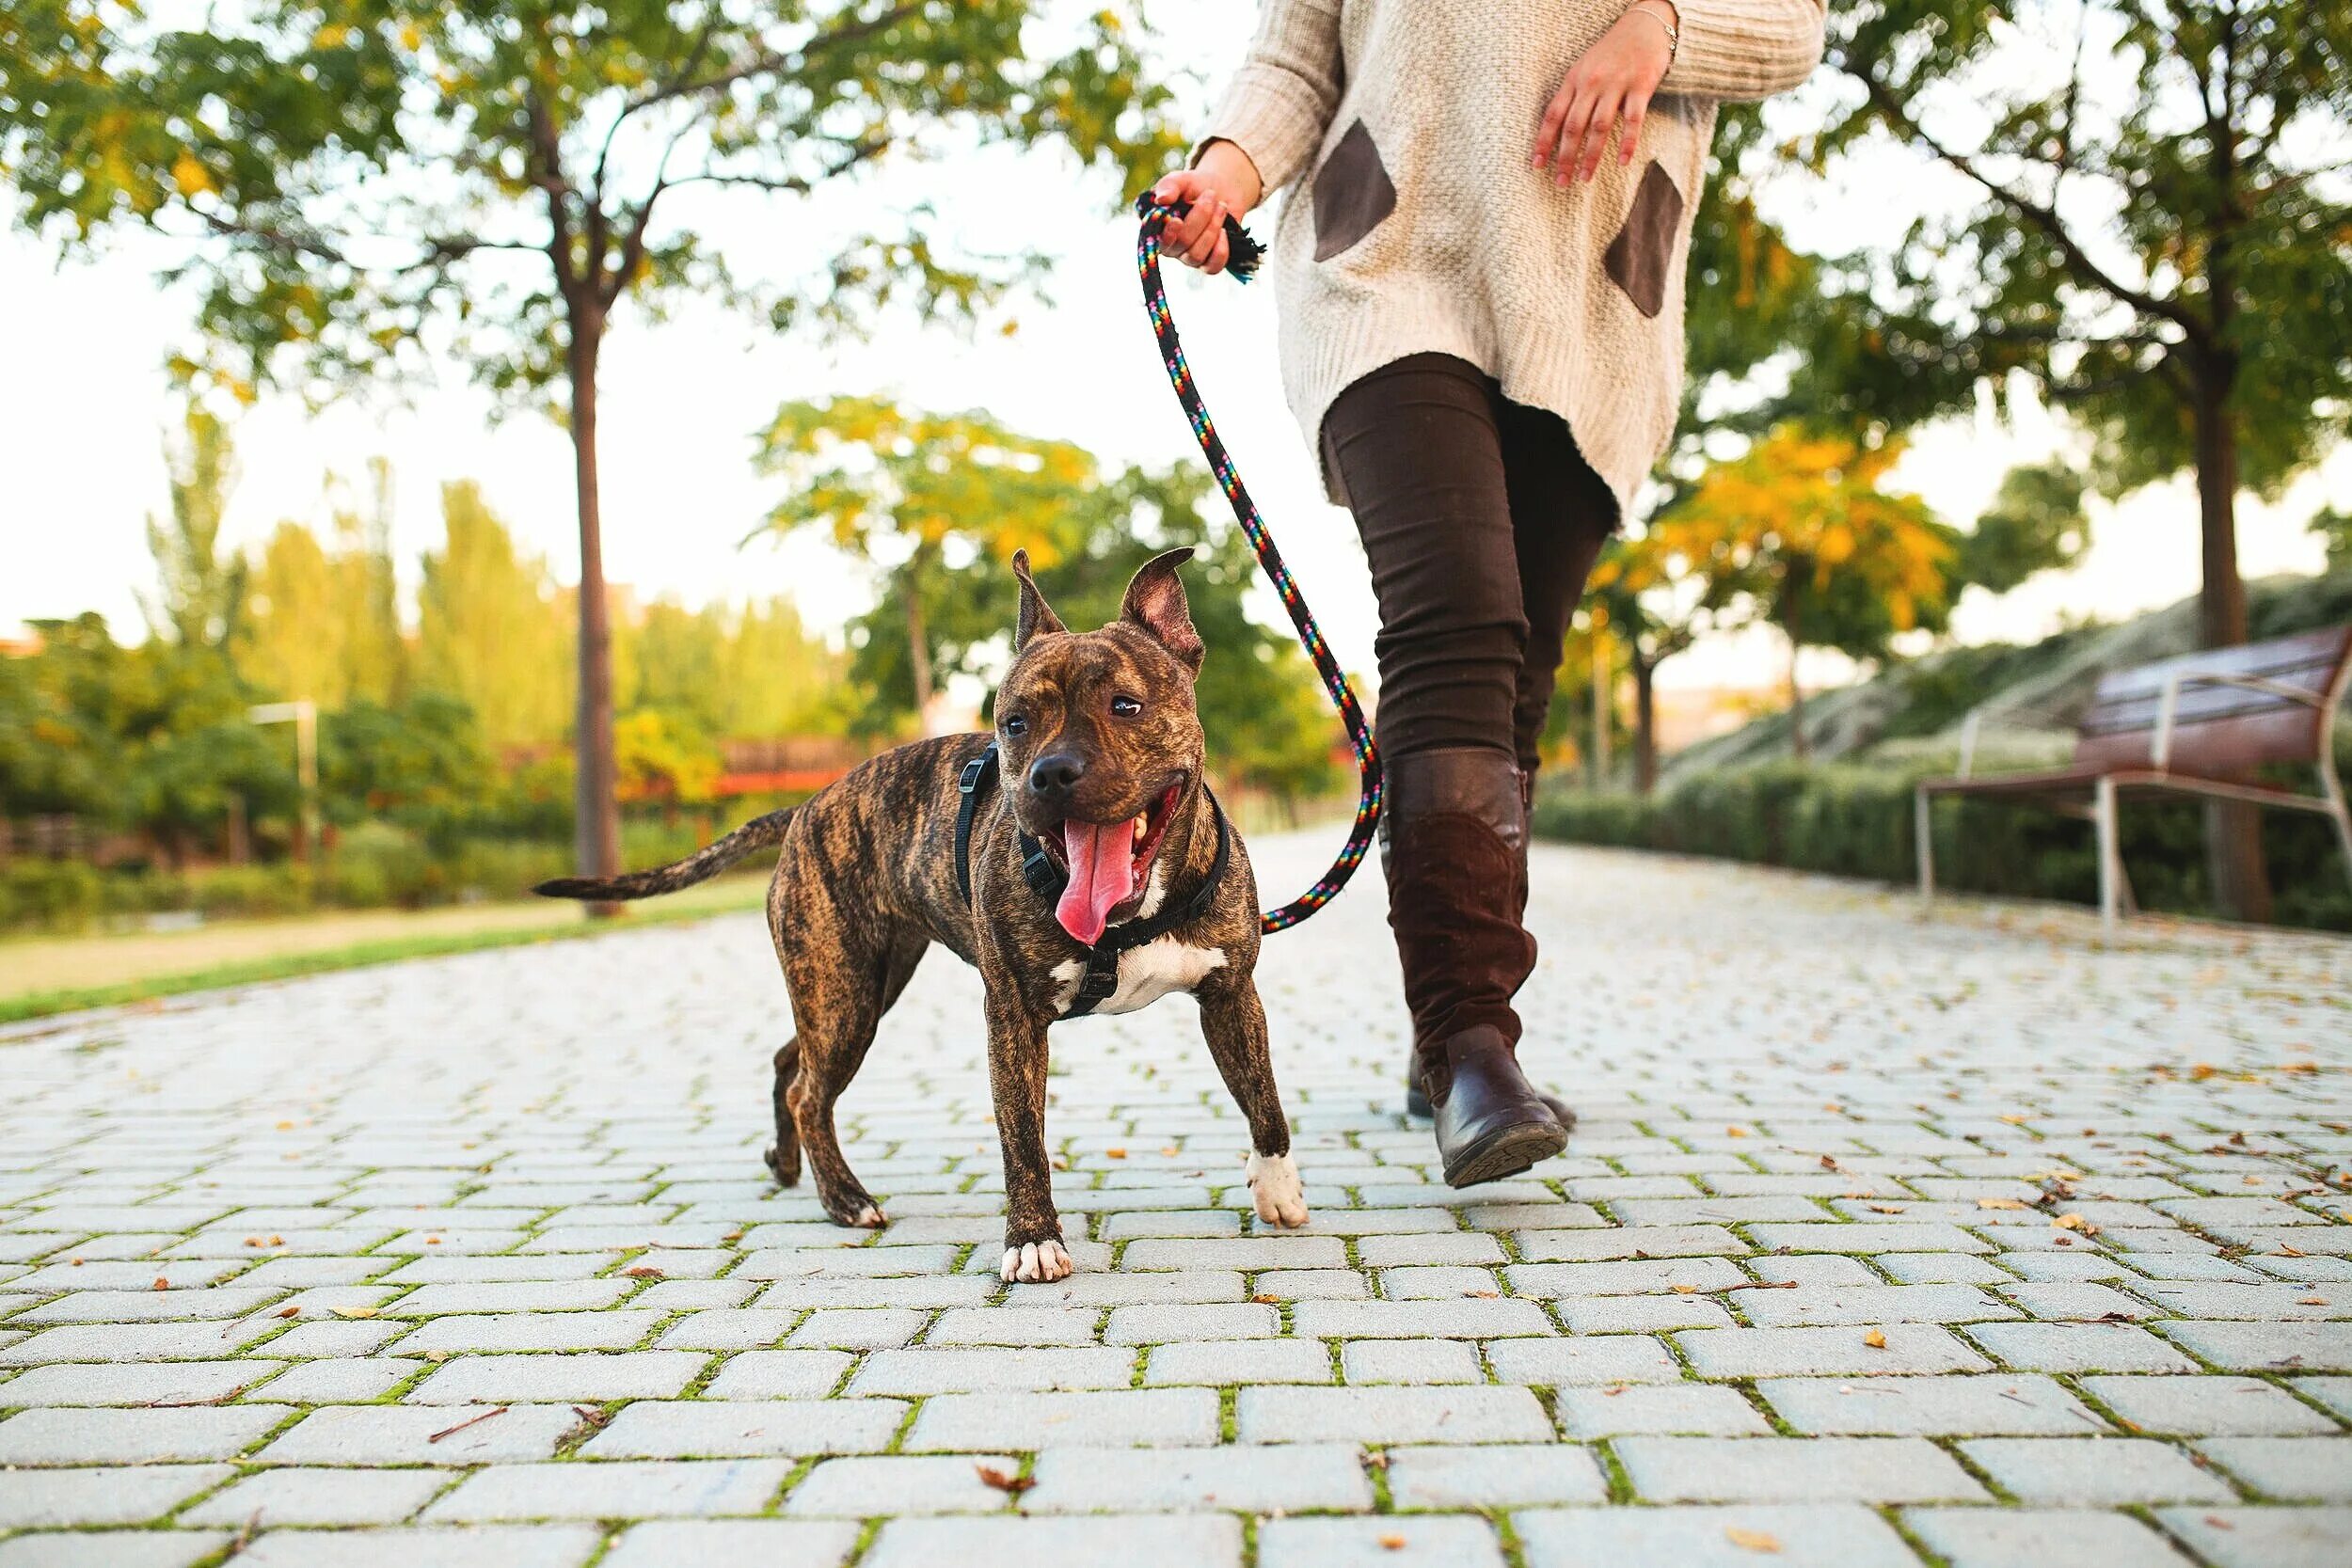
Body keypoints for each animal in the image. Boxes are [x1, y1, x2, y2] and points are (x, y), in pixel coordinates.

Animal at [536, 545, 1308, 1278]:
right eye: (1014, 723)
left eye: (1125, 705)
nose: (1050, 773)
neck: (1131, 914)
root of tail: (806, 807)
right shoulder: (1013, 1017)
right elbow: (1023, 1137)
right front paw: (1033, 1241)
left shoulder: (1231, 994)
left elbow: (1264, 1098)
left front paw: (1277, 1189)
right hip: (844, 994)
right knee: (810, 1091)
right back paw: (845, 1198)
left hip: (856, 988)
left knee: (793, 1059)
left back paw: (788, 1164)